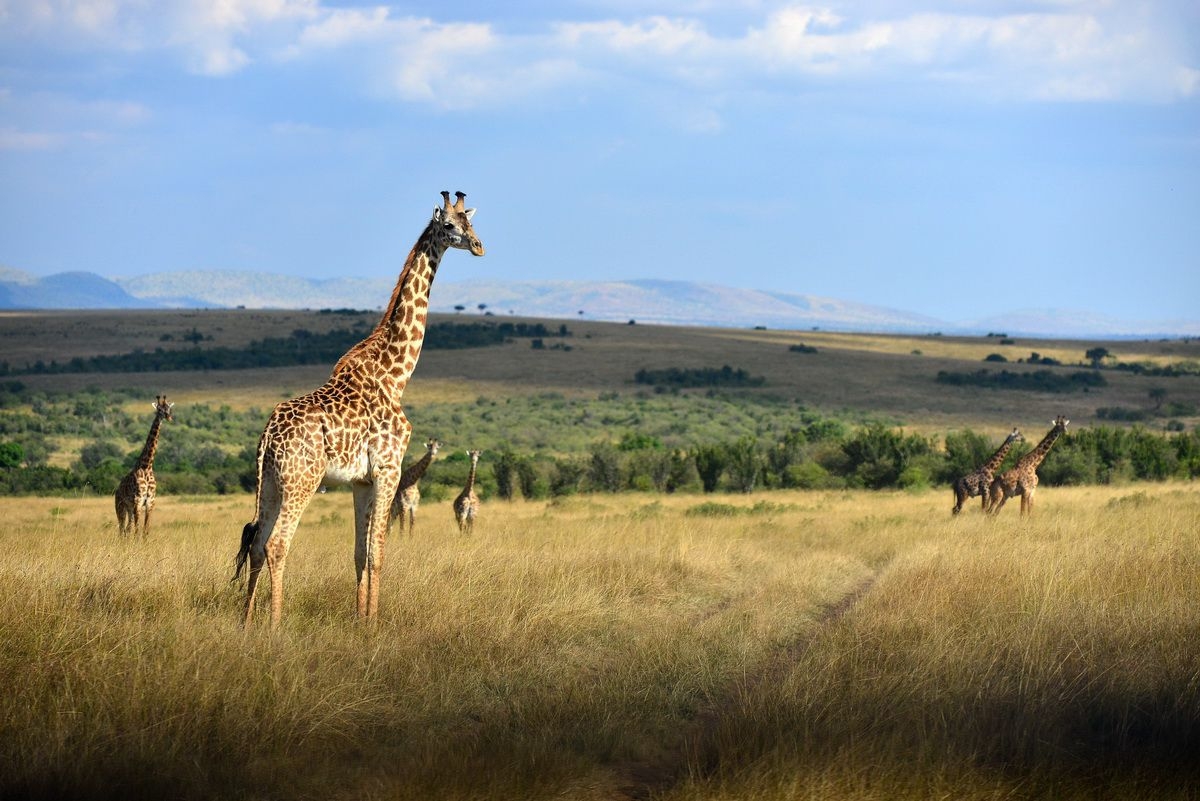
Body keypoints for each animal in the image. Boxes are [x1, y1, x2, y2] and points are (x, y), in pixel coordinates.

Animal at [114, 395, 174, 534]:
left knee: (127, 529)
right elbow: (137, 531)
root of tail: (117, 491)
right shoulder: (138, 501)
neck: (146, 466)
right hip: (121, 507)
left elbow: (145, 530)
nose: (169, 418)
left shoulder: (150, 502)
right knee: (121, 529)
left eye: (169, 408)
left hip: (130, 509)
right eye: (159, 410)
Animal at [232, 191, 482, 623]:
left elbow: (359, 554)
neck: (396, 374)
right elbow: (379, 552)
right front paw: (373, 625)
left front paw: (359, 619)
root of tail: (267, 436)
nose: (480, 246)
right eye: (450, 225)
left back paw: (247, 623)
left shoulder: (361, 480)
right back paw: (275, 625)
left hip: (270, 482)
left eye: (471, 222)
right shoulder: (388, 468)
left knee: (258, 542)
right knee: (278, 544)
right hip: (302, 481)